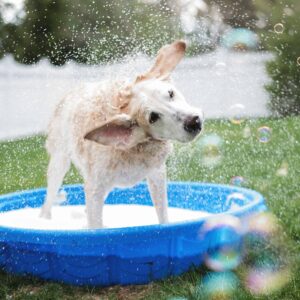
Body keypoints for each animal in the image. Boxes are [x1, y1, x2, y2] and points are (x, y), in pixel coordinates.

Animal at [39, 39, 204, 227]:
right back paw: (44, 220)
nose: (193, 121)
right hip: (59, 161)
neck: (135, 148)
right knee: (49, 198)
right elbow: (95, 226)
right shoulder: (95, 187)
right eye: (153, 117)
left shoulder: (157, 174)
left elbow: (163, 215)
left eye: (170, 93)